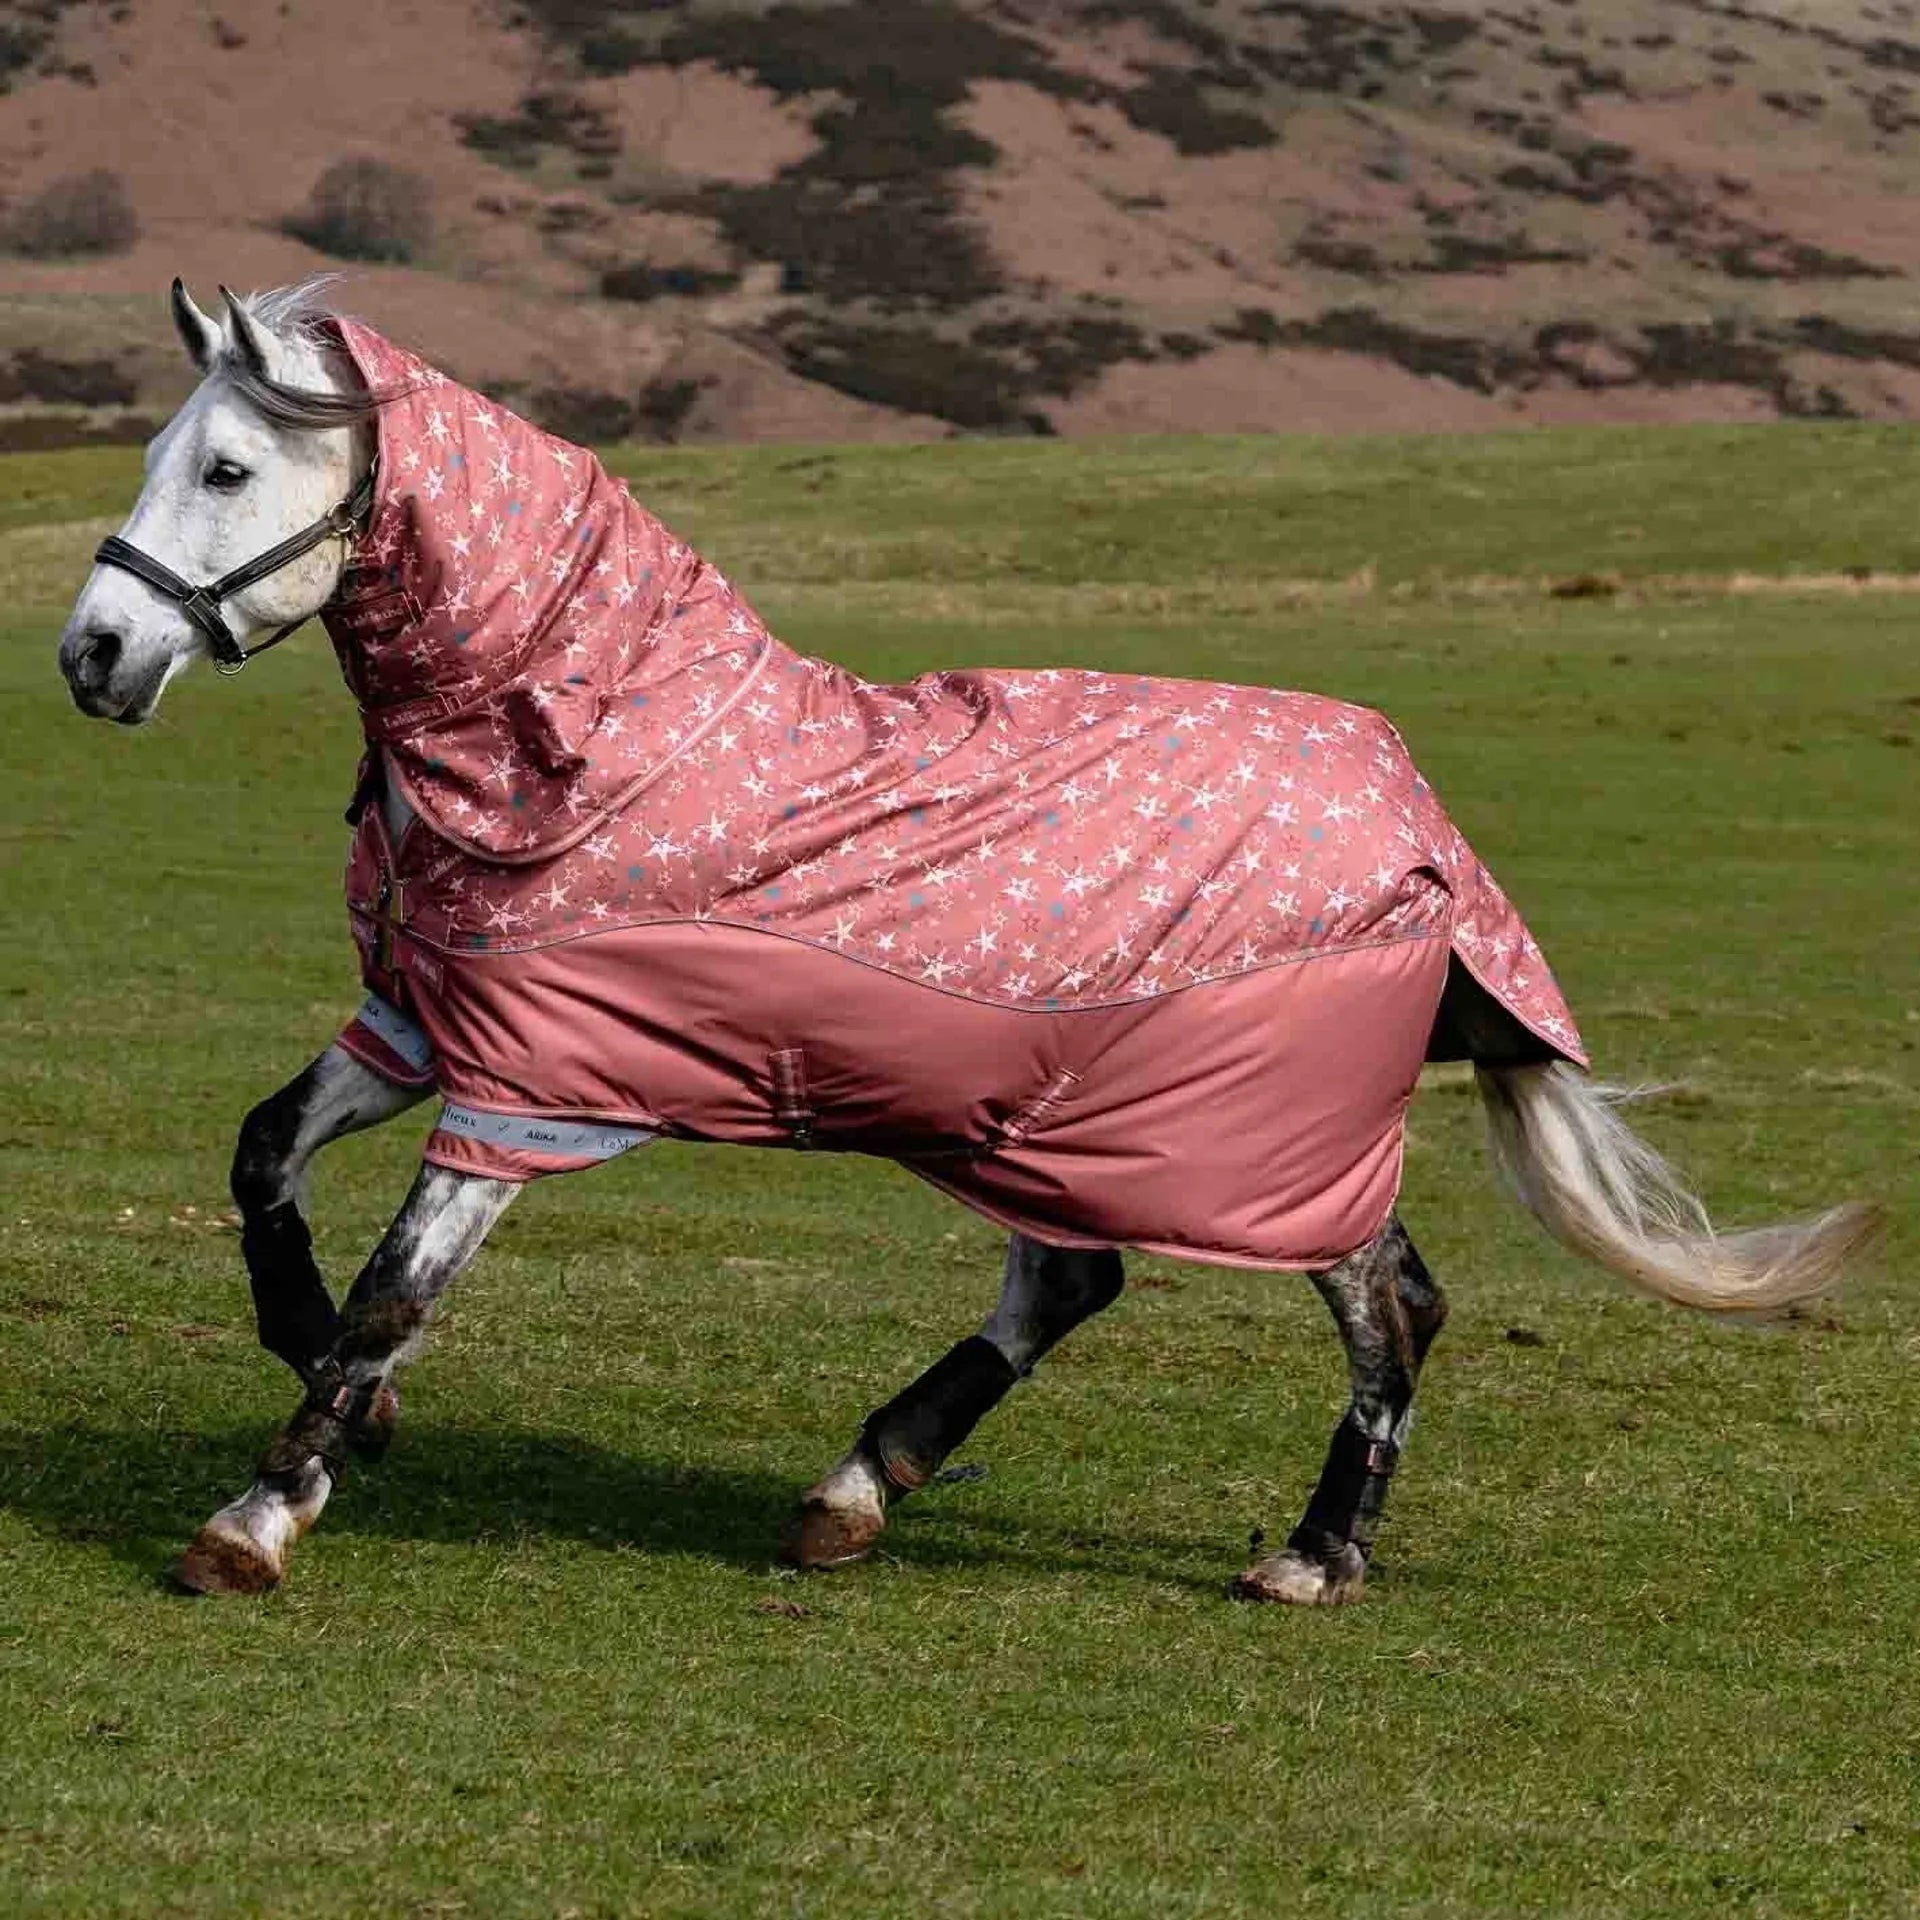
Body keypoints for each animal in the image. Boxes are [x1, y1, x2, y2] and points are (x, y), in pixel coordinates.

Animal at [56, 280, 1879, 1605]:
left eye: (226, 469)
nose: (91, 653)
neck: (603, 746)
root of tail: (1416, 811)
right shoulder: (432, 1029)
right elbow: (264, 1161)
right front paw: (337, 1398)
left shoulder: (533, 1093)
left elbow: (391, 1292)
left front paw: (261, 1514)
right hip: (1074, 1122)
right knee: (1080, 1279)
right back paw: (859, 1492)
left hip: (1273, 1142)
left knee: (1392, 1312)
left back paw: (1309, 1557)